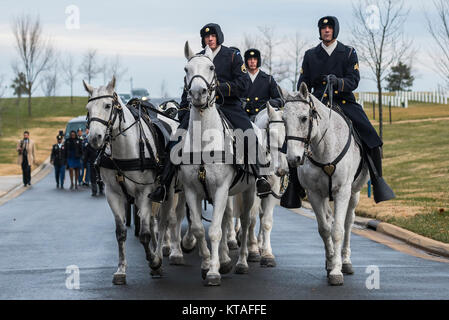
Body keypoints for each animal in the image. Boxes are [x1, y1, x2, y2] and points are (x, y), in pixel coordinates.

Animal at [84, 76, 175, 284]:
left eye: (108, 105)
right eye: (88, 109)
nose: (94, 138)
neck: (125, 149)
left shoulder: (144, 193)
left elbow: (144, 235)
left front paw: (153, 261)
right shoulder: (113, 194)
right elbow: (121, 233)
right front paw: (121, 270)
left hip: (169, 192)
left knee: (164, 222)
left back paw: (162, 253)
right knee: (153, 222)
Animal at [178, 42, 256, 284]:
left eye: (211, 67)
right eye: (186, 69)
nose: (197, 93)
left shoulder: (221, 188)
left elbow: (214, 230)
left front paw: (213, 272)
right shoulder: (192, 190)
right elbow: (198, 228)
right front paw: (207, 264)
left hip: (248, 191)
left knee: (245, 222)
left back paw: (241, 262)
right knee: (226, 220)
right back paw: (224, 259)